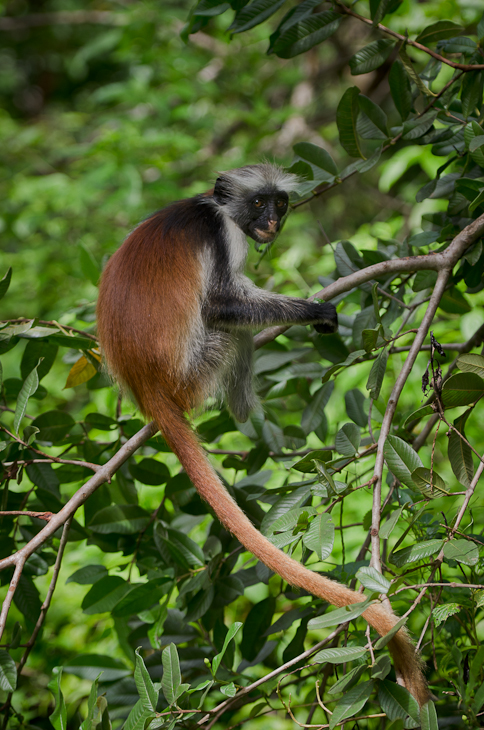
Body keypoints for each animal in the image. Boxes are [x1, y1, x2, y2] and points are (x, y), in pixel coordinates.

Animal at [97, 162, 428, 704]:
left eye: (280, 203)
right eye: (257, 204)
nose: (271, 222)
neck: (214, 207)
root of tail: (150, 387)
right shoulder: (225, 235)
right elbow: (219, 302)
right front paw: (314, 311)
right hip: (199, 365)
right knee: (234, 330)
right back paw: (248, 412)